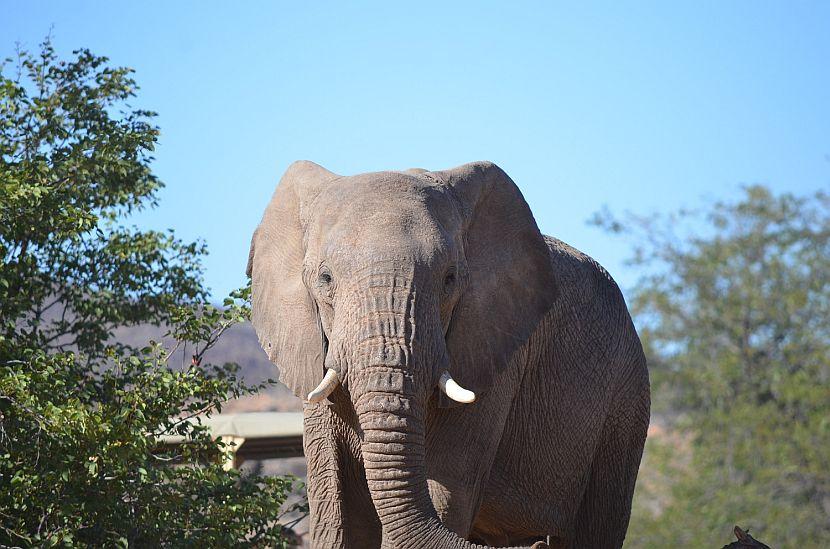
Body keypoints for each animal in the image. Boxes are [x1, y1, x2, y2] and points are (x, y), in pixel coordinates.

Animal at [247, 161, 648, 544]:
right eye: (325, 279)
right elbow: (336, 505)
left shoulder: (492, 353)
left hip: (625, 403)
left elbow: (445, 488)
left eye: (450, 279)